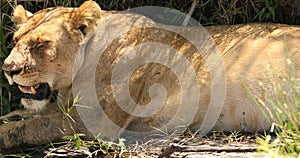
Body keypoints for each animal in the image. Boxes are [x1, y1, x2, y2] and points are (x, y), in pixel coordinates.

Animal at [0, 0, 300, 149]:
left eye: (41, 45)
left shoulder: (93, 124)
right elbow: (23, 115)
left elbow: (29, 126)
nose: (8, 70)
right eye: (15, 41)